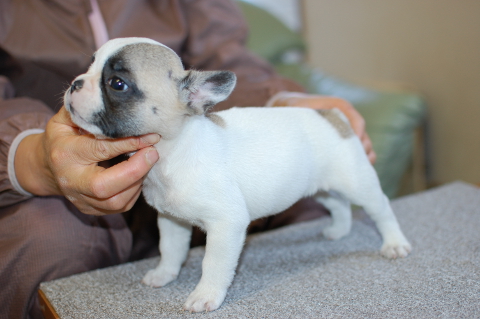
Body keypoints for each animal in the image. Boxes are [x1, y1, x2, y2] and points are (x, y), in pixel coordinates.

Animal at [64, 37, 412, 312]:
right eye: (89, 66)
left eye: (117, 84)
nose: (75, 83)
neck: (174, 149)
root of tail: (331, 115)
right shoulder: (172, 220)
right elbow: (171, 250)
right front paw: (165, 274)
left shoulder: (226, 225)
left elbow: (213, 264)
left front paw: (205, 296)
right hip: (319, 187)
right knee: (338, 205)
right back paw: (338, 230)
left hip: (357, 183)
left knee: (380, 208)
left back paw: (394, 243)